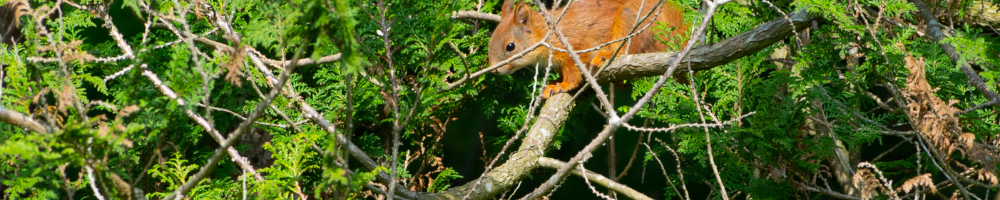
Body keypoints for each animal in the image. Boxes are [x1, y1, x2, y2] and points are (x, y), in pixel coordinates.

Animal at [490, 0, 688, 99]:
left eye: (510, 46)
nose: (494, 70)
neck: (546, 33)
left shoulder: (574, 48)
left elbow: (573, 73)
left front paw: (563, 85)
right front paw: (555, 82)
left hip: (630, 19)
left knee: (628, 50)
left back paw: (606, 55)